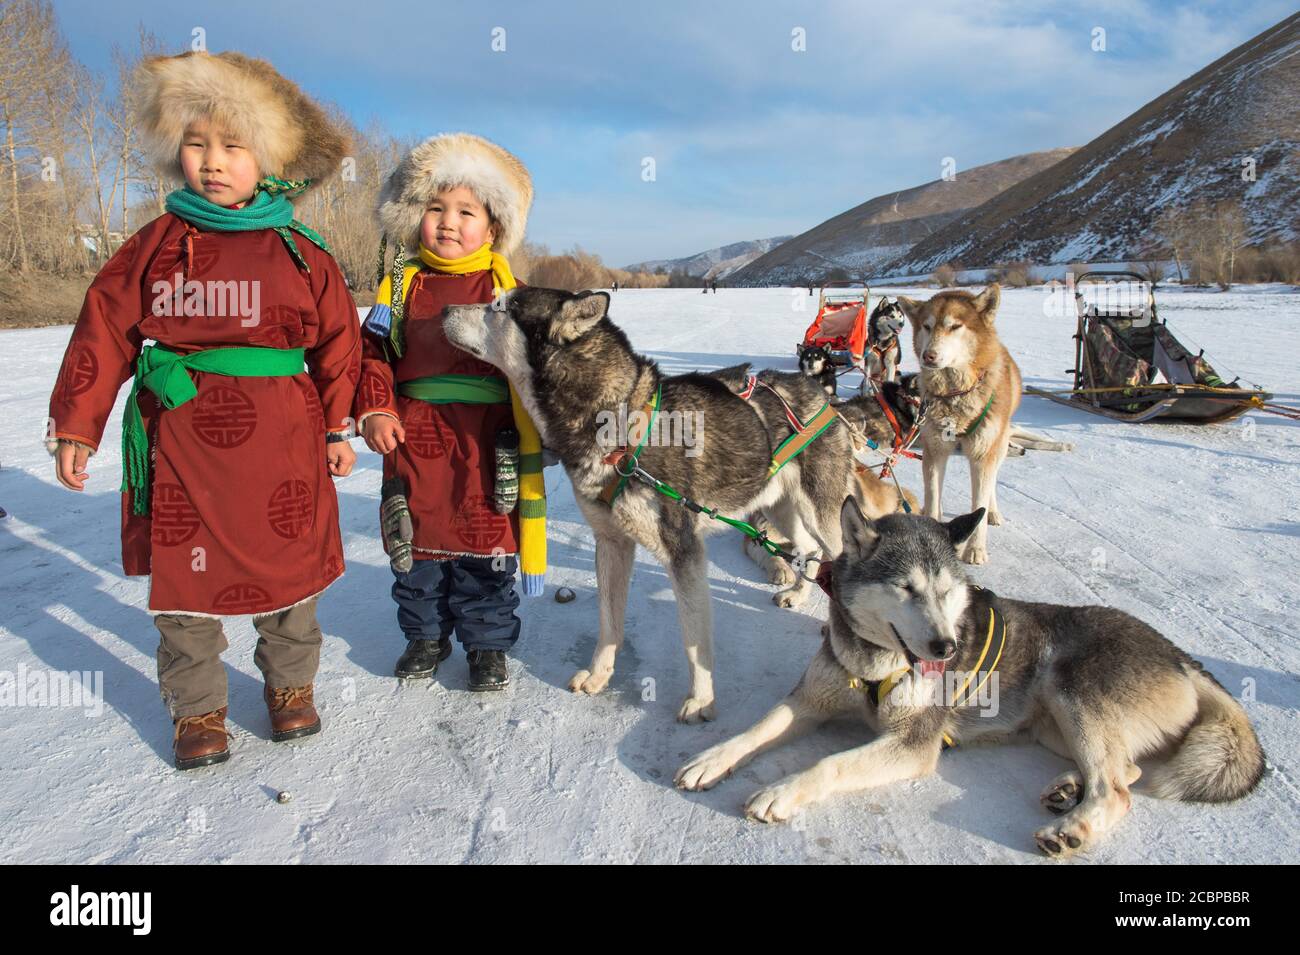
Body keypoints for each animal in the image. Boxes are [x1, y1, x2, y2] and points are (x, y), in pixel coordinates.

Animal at [676, 501, 1263, 857]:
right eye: (906, 588)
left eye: (945, 590)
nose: (947, 648)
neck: (877, 663)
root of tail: (1180, 655)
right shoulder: (811, 701)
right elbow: (758, 729)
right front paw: (712, 758)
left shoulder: (913, 744)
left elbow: (829, 764)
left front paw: (781, 791)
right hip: (1055, 722)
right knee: (1128, 771)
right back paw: (1069, 789)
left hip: (1073, 693)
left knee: (1118, 788)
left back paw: (1073, 827)